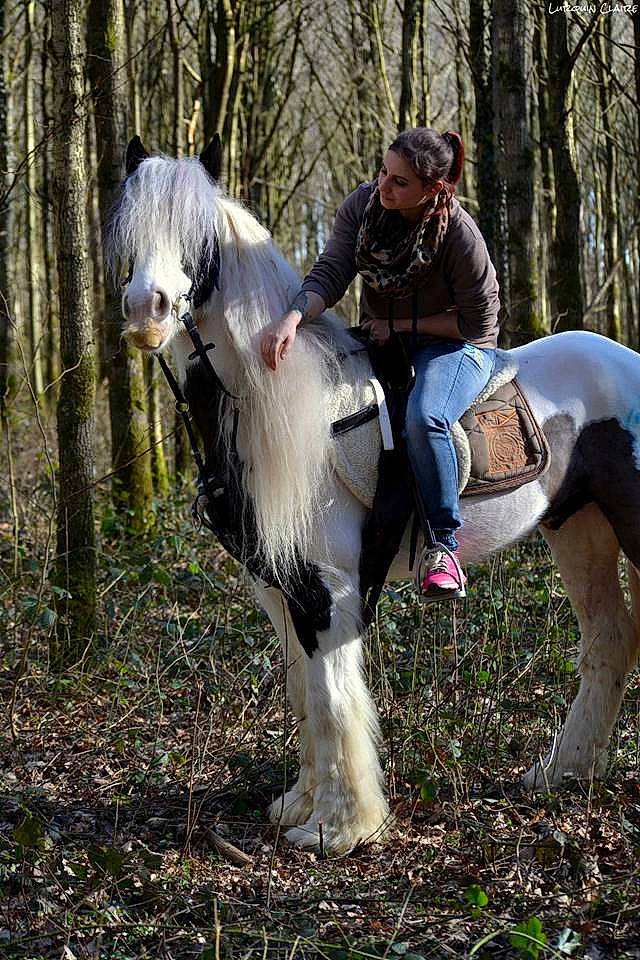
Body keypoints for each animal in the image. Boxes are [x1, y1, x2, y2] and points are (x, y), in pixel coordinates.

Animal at [107, 136, 640, 856]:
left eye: (199, 234)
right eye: (131, 229)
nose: (148, 311)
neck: (282, 416)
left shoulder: (329, 588)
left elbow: (333, 699)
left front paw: (336, 827)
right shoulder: (279, 586)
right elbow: (304, 695)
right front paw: (300, 805)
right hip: (578, 527)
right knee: (609, 638)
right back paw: (561, 771)